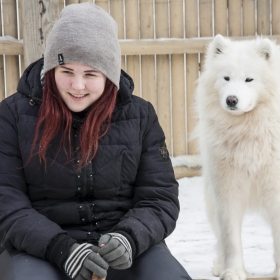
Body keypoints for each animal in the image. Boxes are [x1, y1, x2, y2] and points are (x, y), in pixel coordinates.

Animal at [196, 35, 280, 280]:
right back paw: (219, 266)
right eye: (226, 78)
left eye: (249, 79)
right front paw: (233, 272)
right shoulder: (227, 191)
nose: (231, 100)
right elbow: (230, 238)